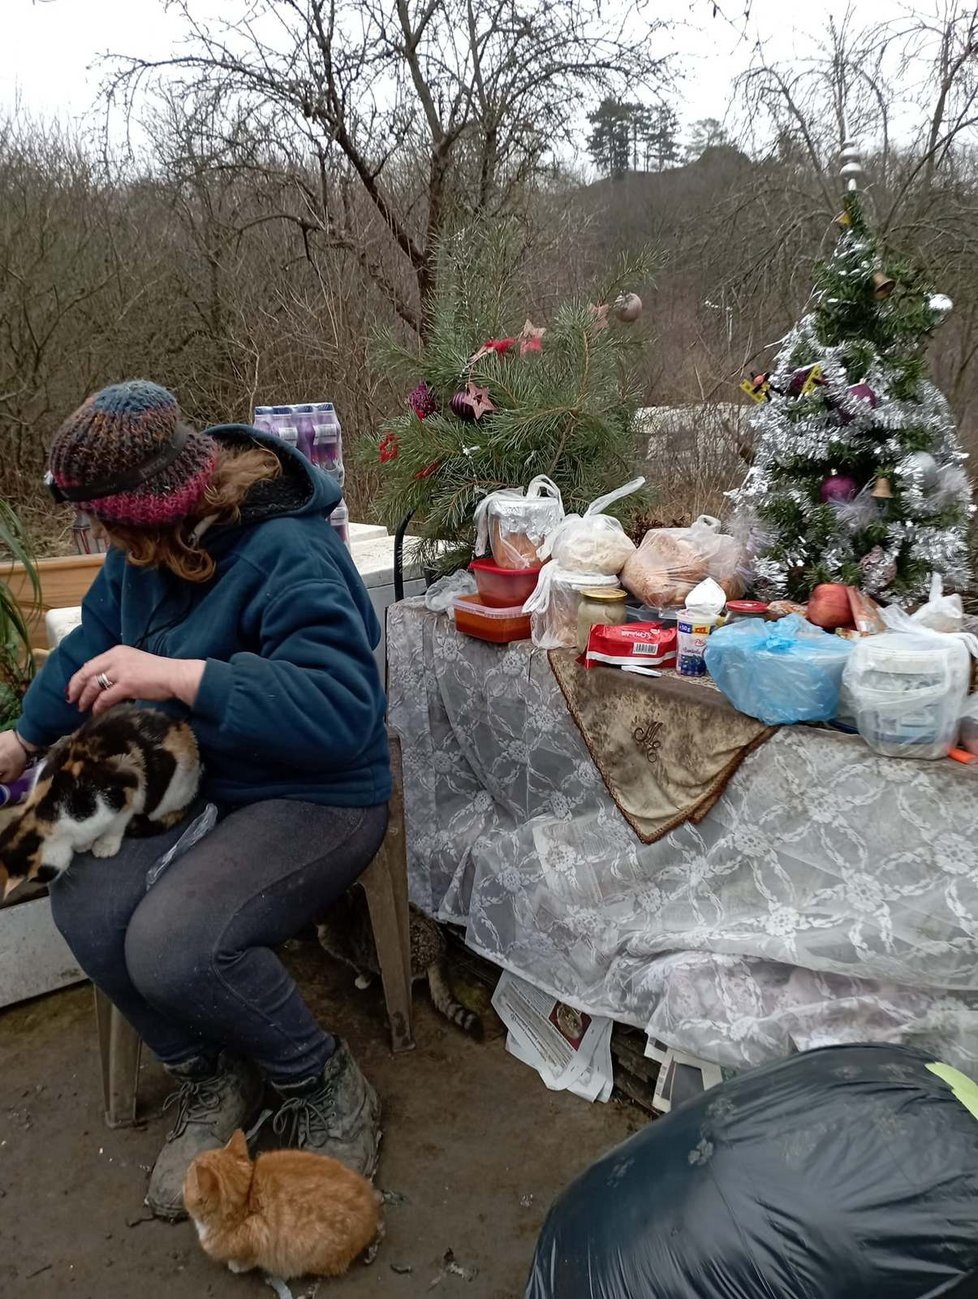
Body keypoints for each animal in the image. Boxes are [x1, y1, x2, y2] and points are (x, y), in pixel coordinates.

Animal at [0, 706, 200, 898]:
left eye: (39, 876)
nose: (61, 875)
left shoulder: (125, 791)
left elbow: (115, 826)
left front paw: (105, 845)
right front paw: (83, 845)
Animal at [184, 1127, 384, 1278]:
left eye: (187, 1177)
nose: (182, 1181)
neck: (246, 1201)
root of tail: (372, 1212)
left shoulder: (253, 1243)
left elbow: (247, 1258)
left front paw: (237, 1265)